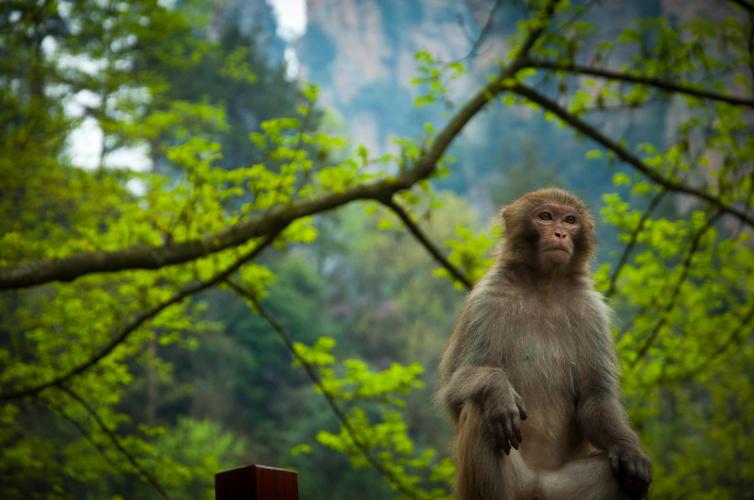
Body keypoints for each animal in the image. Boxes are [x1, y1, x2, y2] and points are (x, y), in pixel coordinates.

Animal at [438, 188, 648, 500]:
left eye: (570, 220)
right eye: (546, 216)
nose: (560, 233)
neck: (543, 286)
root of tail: (536, 484)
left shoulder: (591, 311)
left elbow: (594, 397)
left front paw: (629, 450)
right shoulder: (486, 300)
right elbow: (453, 389)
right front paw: (498, 389)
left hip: (560, 488)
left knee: (617, 476)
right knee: (481, 411)